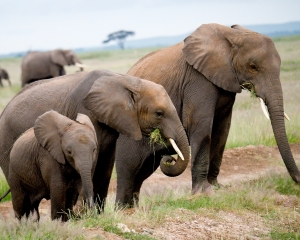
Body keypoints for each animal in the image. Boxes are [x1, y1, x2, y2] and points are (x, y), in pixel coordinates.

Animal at [0, 69, 190, 212]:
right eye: (159, 113)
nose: (168, 158)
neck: (127, 81)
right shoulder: (87, 111)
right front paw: (83, 213)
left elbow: (105, 165)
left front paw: (96, 214)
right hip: (7, 145)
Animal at [114, 22, 300, 207]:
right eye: (253, 67)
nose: (297, 180)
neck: (232, 35)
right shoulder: (198, 80)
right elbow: (200, 127)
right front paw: (203, 193)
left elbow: (222, 131)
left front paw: (217, 188)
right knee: (128, 170)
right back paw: (123, 210)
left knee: (140, 173)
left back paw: (133, 209)